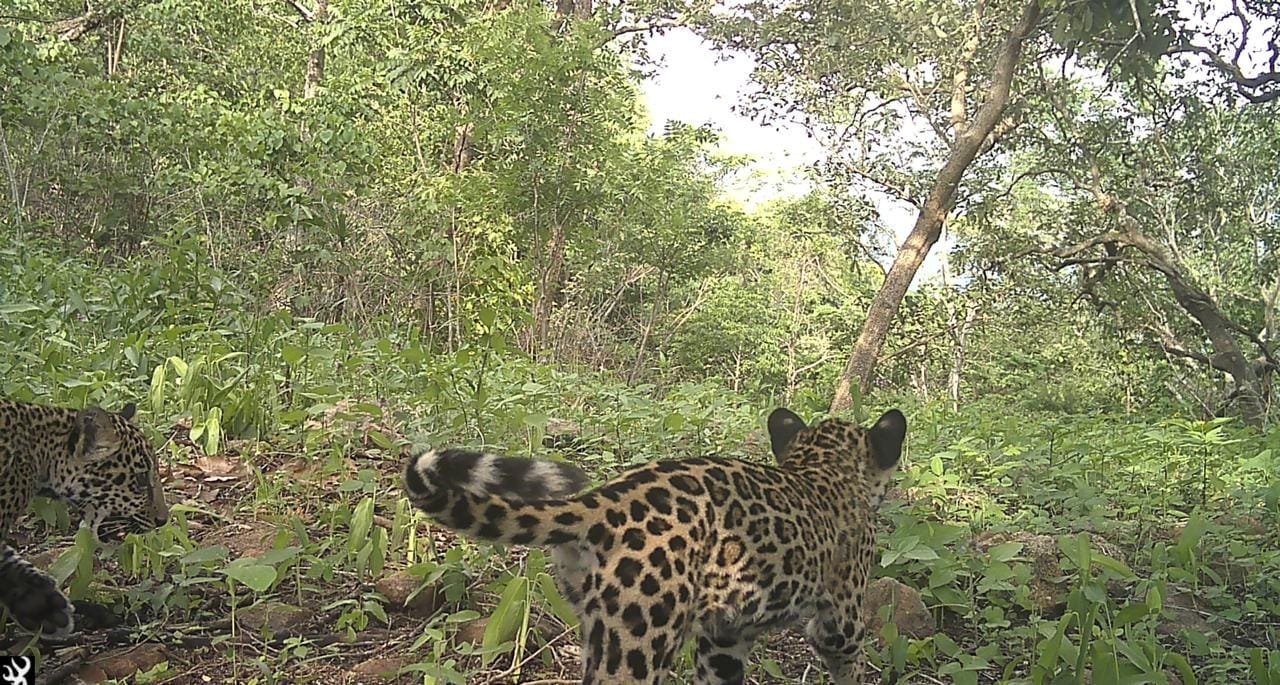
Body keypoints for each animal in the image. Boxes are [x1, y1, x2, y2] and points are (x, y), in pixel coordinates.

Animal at [402, 406, 906, 684]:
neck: (824, 464)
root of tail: (601, 502)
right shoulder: (840, 618)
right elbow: (850, 662)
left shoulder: (724, 636)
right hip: (639, 638)